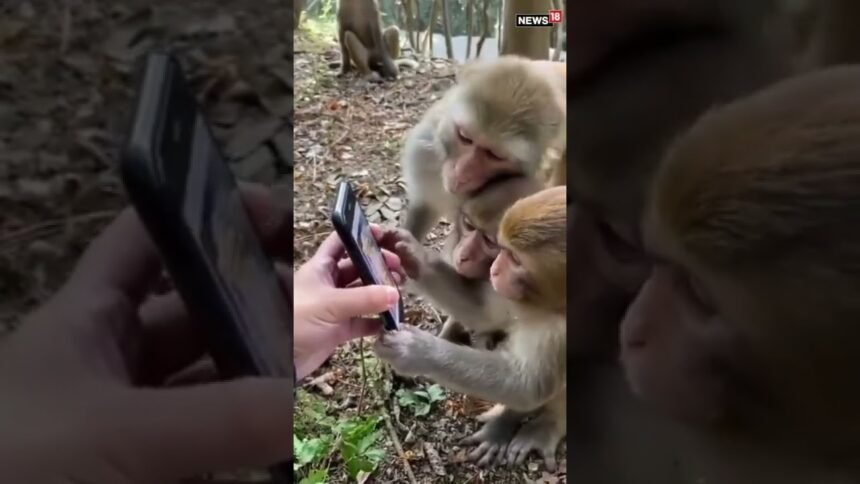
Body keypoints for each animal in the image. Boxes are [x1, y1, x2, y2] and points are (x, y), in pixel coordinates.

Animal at [376, 186, 567, 470]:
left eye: (515, 258)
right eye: (503, 251)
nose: (495, 269)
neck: (548, 304)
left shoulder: (561, 334)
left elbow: (528, 386)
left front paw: (415, 351)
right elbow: (481, 310)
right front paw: (409, 252)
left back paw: (541, 425)